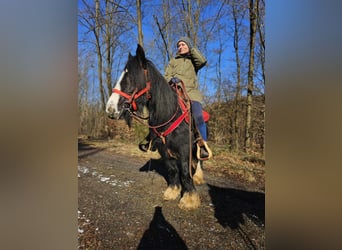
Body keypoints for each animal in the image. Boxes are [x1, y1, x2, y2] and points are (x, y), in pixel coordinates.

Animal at [105, 44, 204, 209]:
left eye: (130, 79)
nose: (110, 109)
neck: (169, 115)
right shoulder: (163, 149)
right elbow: (172, 170)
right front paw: (173, 191)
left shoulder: (185, 148)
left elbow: (184, 171)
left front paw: (189, 199)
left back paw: (198, 176)